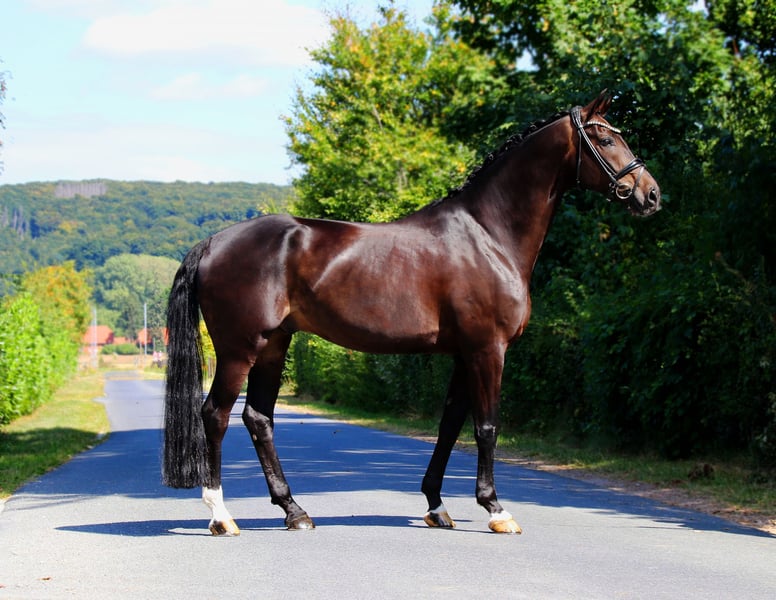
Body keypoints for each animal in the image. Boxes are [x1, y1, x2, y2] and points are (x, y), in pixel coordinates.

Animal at [162, 91, 661, 536]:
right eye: (604, 138)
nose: (651, 194)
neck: (488, 233)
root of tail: (213, 242)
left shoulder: (464, 353)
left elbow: (450, 425)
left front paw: (437, 505)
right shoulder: (488, 350)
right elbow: (486, 426)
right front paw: (496, 510)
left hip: (273, 345)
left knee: (259, 418)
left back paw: (295, 511)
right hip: (239, 350)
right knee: (216, 414)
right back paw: (222, 517)